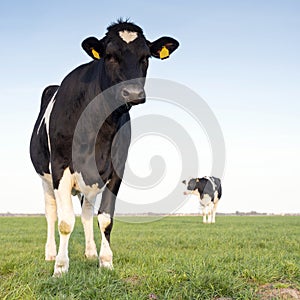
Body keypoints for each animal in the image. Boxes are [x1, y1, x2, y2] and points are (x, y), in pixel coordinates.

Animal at [29, 19, 179, 276]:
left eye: (145, 57)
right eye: (109, 55)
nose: (133, 93)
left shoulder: (117, 168)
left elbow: (105, 218)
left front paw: (106, 261)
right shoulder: (59, 167)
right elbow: (65, 221)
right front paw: (61, 267)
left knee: (87, 213)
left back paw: (90, 252)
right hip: (45, 178)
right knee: (51, 213)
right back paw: (50, 254)